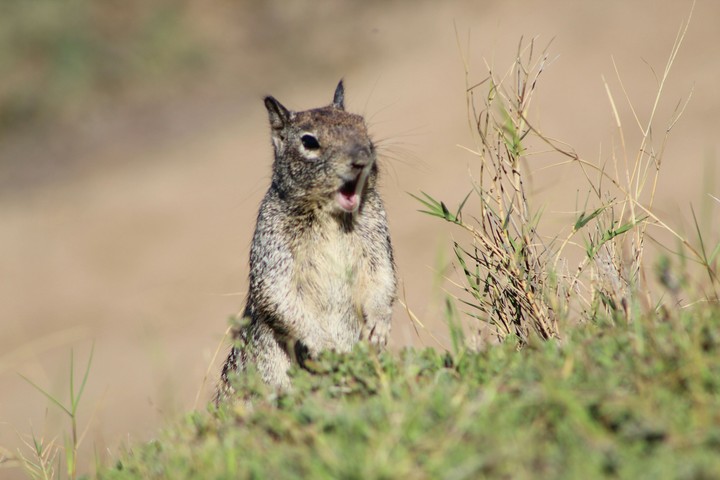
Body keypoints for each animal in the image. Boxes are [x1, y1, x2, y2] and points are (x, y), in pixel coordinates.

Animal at [216, 80, 397, 402]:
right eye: (309, 141)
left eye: (362, 124)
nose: (362, 159)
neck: (330, 216)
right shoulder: (273, 250)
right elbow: (280, 297)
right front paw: (325, 345)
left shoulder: (376, 237)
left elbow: (382, 279)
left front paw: (379, 326)